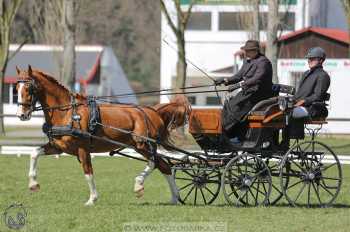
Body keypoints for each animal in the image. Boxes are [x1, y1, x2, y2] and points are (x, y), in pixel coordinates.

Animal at [15, 65, 190, 205]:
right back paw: (174, 198)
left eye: (29, 88)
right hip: (141, 146)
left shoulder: (83, 149)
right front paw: (33, 184)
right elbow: (34, 153)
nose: (21, 115)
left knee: (154, 163)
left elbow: (88, 172)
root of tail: (153, 111)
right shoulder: (58, 147)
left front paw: (92, 199)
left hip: (143, 144)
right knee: (164, 166)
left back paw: (139, 184)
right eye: (16, 89)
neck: (67, 112)